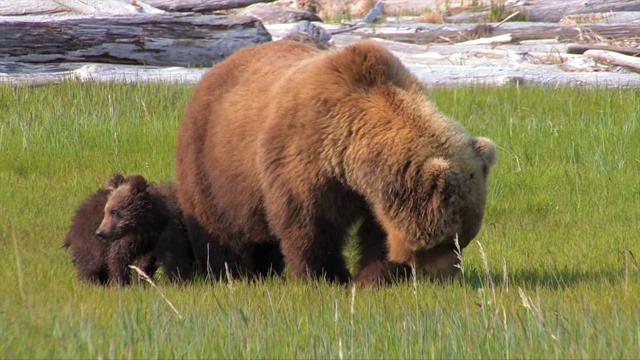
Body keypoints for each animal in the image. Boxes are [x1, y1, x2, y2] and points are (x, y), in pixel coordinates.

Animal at [174, 40, 496, 284]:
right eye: (449, 239)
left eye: (465, 237)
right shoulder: (304, 159)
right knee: (217, 226)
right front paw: (326, 276)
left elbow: (378, 233)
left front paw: (376, 277)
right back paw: (231, 272)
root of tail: (214, 70)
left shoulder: (373, 193)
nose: (450, 275)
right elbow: (309, 224)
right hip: (211, 161)